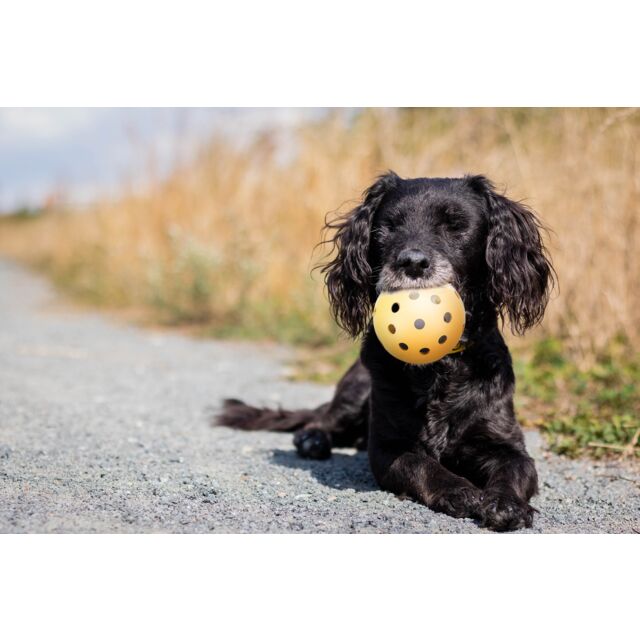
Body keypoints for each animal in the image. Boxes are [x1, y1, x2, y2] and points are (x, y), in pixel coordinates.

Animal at [216, 172, 556, 532]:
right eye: (388, 227)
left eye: (455, 225)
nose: (412, 262)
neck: (439, 366)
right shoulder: (387, 447)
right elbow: (423, 467)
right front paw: (461, 492)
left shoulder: (506, 444)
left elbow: (514, 470)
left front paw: (506, 504)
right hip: (356, 388)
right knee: (321, 420)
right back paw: (313, 440)